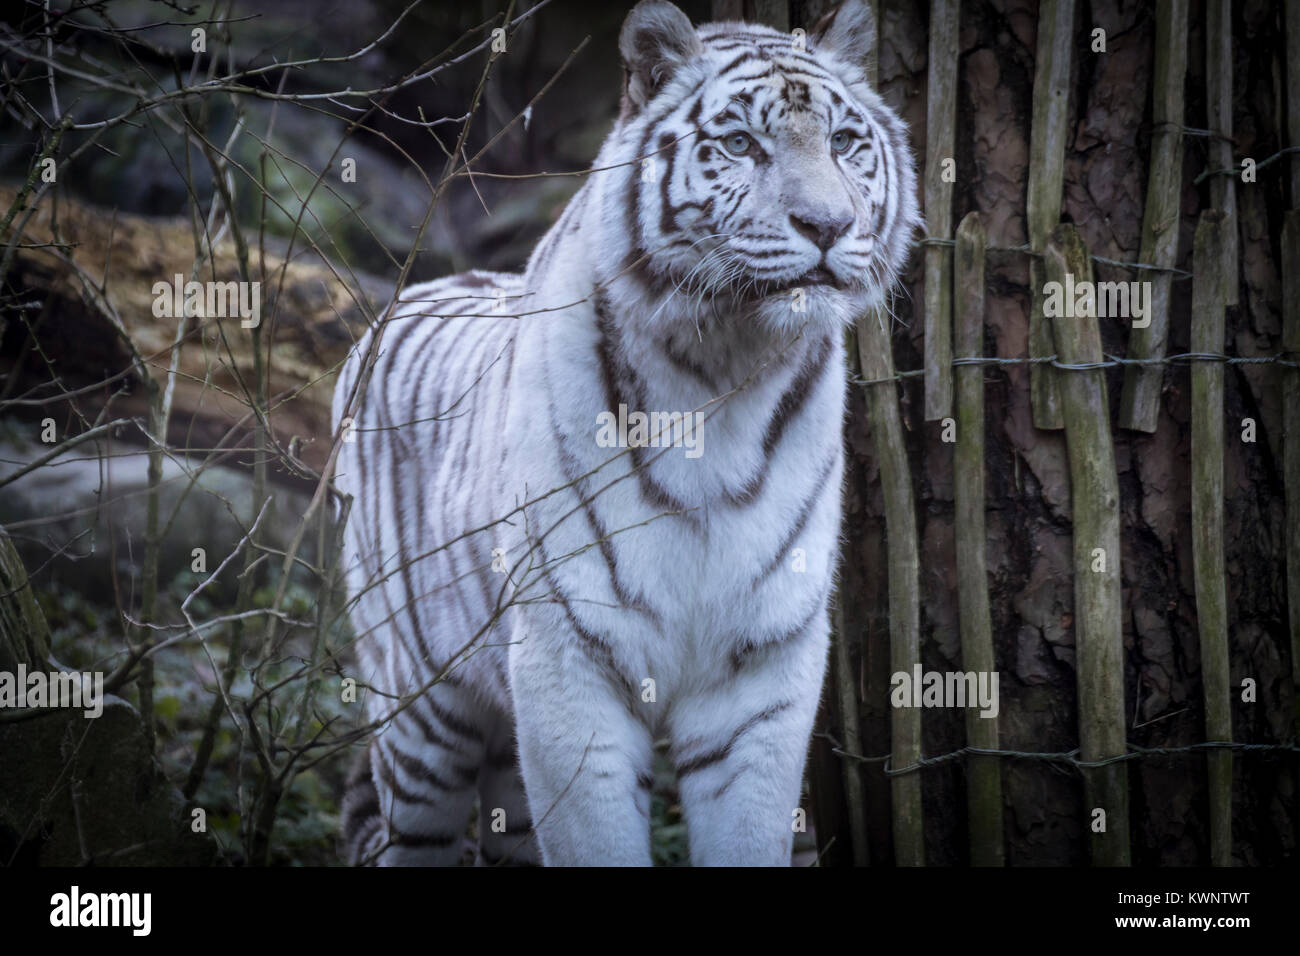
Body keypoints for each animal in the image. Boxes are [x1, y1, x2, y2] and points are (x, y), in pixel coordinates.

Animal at [331, 0, 919, 866]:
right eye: (741, 144)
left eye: (845, 142)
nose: (827, 223)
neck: (726, 374)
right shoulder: (567, 661)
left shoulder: (763, 672)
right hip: (420, 712)